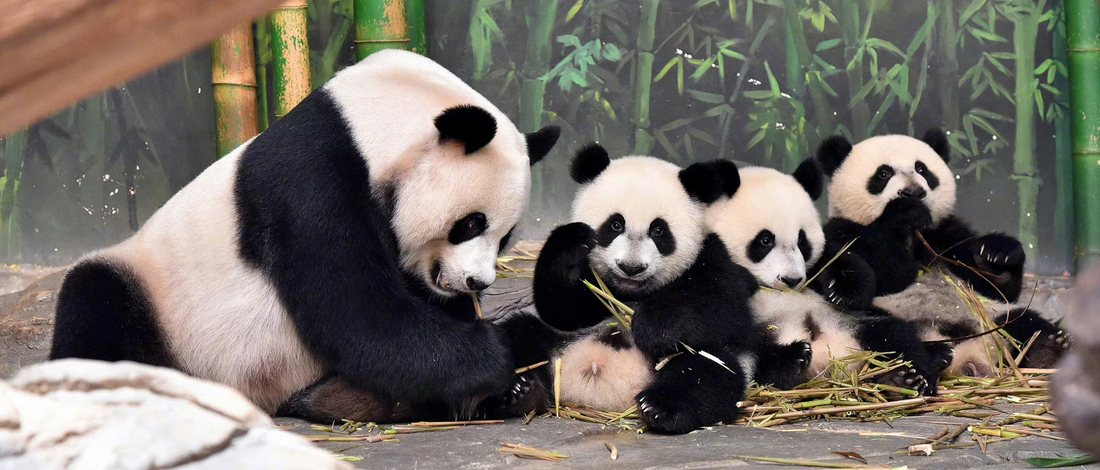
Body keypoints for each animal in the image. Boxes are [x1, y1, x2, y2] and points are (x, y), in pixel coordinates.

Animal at [48, 49, 563, 420]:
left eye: (506, 237)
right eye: (471, 223)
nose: (479, 283)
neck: (367, 122)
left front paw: (504, 370)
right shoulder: (309, 183)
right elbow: (354, 309)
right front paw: (492, 359)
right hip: (156, 293)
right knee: (94, 305)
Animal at [708, 157, 950, 394]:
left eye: (802, 241)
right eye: (765, 240)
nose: (791, 280)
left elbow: (869, 269)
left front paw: (843, 292)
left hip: (854, 325)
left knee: (896, 337)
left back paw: (909, 377)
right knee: (761, 364)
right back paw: (793, 357)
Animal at [818, 129, 1064, 376]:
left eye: (922, 169)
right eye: (883, 174)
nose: (913, 192)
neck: (914, 236)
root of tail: (969, 355)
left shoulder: (946, 234)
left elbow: (996, 287)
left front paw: (998, 254)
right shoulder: (844, 232)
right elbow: (887, 274)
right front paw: (906, 212)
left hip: (990, 318)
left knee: (1024, 322)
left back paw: (1047, 350)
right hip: (881, 316)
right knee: (887, 333)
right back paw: (928, 360)